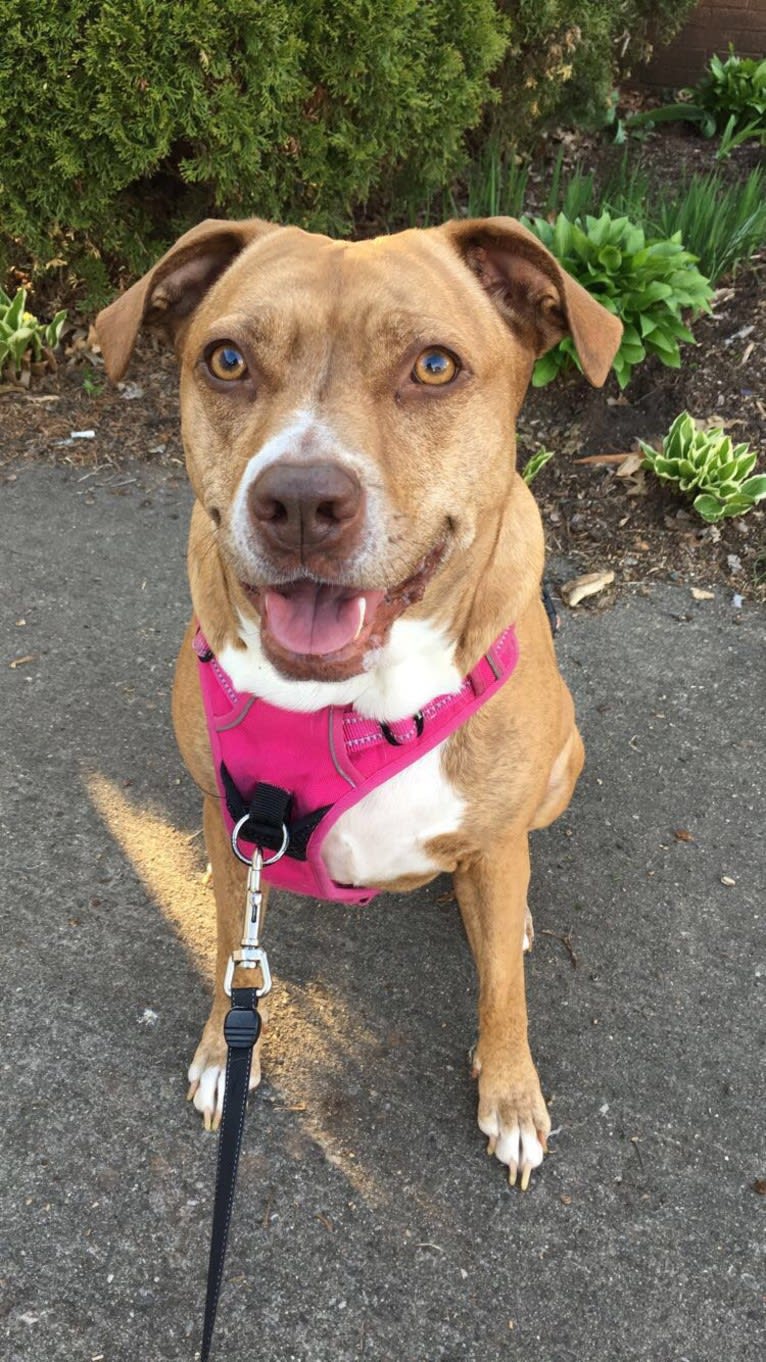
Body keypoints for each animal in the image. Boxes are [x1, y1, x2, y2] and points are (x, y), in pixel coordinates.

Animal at [95, 209, 621, 1182]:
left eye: (435, 366)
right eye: (228, 360)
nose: (301, 501)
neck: (356, 705)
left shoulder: (497, 839)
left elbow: (504, 989)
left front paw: (511, 1094)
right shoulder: (236, 826)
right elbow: (231, 952)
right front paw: (225, 1052)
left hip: (563, 767)